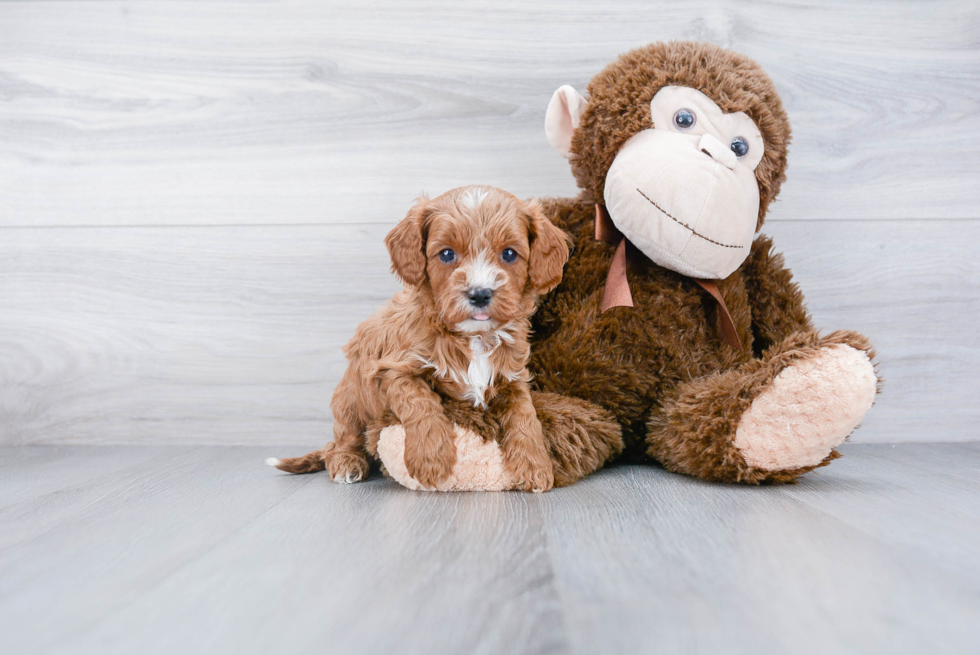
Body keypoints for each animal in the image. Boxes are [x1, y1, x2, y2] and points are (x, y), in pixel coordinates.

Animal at [268, 184, 576, 492]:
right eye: (447, 254)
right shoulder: (392, 369)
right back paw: (347, 463)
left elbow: (525, 414)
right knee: (341, 440)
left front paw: (536, 465)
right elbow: (420, 401)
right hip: (351, 399)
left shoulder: (512, 378)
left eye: (509, 254)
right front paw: (431, 460)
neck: (473, 337)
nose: (479, 294)